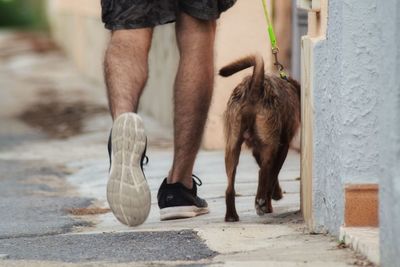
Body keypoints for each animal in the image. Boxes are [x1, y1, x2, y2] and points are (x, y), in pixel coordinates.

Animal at [220, 54, 302, 222]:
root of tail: (254, 87)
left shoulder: (256, 150)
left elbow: (271, 176)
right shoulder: (283, 146)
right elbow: (273, 174)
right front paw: (271, 199)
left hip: (232, 147)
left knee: (230, 187)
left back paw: (232, 215)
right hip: (270, 145)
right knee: (263, 172)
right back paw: (260, 202)